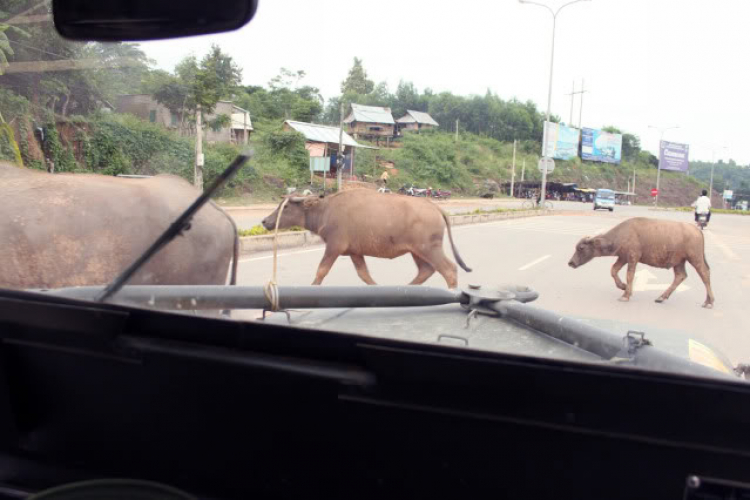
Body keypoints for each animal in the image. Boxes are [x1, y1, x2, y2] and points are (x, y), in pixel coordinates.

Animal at [260, 188, 470, 290]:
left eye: (286, 207)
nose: (265, 221)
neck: (326, 210)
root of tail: (435, 207)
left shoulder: (334, 246)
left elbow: (321, 270)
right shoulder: (355, 252)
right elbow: (364, 275)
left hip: (429, 248)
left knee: (449, 270)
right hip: (417, 251)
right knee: (426, 270)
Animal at [568, 217, 716, 306]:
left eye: (581, 248)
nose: (571, 263)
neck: (623, 234)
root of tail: (697, 230)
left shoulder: (633, 258)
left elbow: (629, 275)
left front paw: (626, 294)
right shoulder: (623, 258)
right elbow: (613, 270)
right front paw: (623, 287)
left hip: (695, 258)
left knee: (705, 274)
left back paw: (709, 302)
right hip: (679, 262)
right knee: (680, 276)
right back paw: (661, 297)